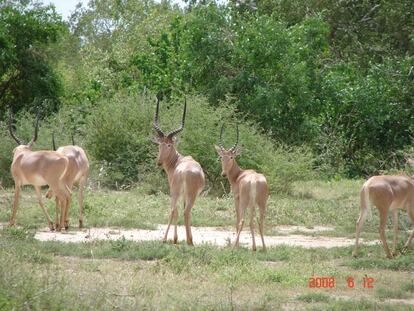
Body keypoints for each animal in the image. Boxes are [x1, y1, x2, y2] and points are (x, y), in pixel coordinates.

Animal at [151, 97, 205, 246]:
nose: (159, 162)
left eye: (169, 144)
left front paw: (175, 239)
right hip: (188, 195)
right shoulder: (185, 195)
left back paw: (170, 239)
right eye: (160, 144)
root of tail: (185, 172)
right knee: (185, 211)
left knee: (176, 211)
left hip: (177, 192)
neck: (177, 162)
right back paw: (189, 240)